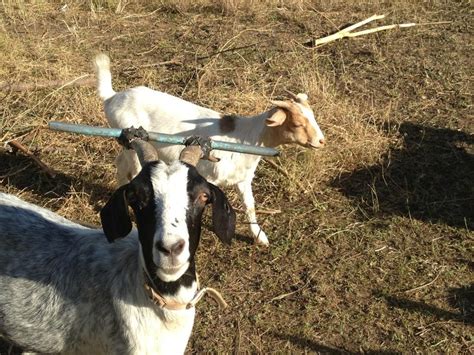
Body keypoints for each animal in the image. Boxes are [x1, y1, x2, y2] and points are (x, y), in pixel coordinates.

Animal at [94, 53, 324, 248]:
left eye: (313, 116)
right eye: (296, 124)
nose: (321, 141)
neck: (247, 137)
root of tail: (112, 97)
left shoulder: (243, 179)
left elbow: (249, 205)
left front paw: (260, 237)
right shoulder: (209, 176)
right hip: (132, 144)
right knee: (129, 169)